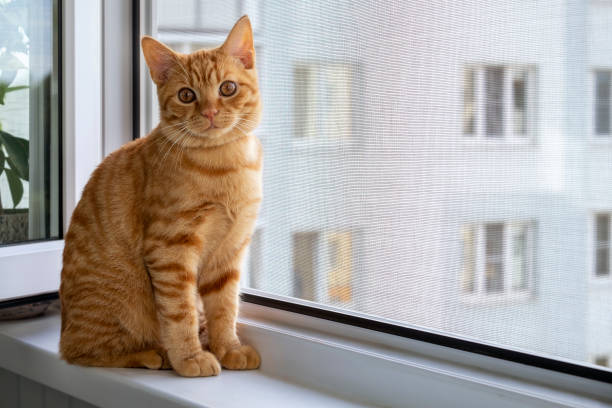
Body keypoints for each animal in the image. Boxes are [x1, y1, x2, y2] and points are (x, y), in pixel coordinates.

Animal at [59, 16, 262, 376]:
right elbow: (180, 311)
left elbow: (224, 307)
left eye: (227, 88)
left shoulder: (230, 252)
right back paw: (155, 355)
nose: (210, 112)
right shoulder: (170, 249)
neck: (225, 164)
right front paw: (190, 357)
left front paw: (229, 348)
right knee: (81, 352)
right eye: (186, 95)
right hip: (115, 305)